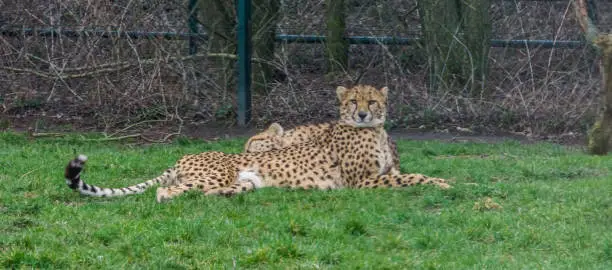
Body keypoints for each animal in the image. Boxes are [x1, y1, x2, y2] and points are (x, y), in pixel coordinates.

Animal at [64, 84, 450, 202]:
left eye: (372, 100)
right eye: (353, 101)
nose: (364, 114)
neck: (374, 131)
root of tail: (183, 157)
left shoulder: (382, 173)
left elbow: (411, 174)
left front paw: (446, 181)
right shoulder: (364, 181)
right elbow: (413, 178)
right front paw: (448, 184)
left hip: (245, 181)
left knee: (214, 191)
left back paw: (226, 196)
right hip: (214, 174)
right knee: (165, 192)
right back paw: (172, 197)